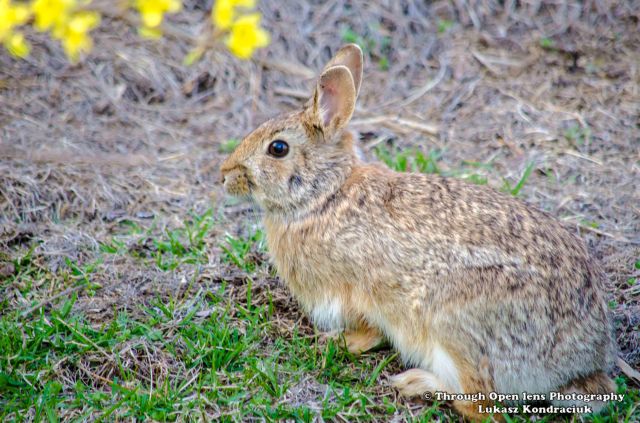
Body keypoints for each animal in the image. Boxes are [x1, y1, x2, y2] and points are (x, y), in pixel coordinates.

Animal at [220, 44, 617, 420]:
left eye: (278, 148)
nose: (225, 174)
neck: (325, 196)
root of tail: (577, 362)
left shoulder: (358, 293)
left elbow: (368, 332)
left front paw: (337, 342)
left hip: (453, 324)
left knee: (480, 404)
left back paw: (416, 383)